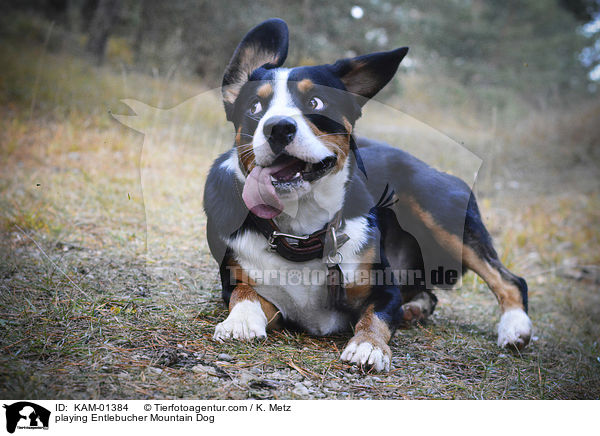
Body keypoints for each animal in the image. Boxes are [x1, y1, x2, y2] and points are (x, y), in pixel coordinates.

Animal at [204, 19, 532, 372]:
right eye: (255, 107)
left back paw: (515, 327)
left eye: (315, 103)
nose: (278, 127)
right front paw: (240, 321)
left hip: (434, 208)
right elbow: (244, 292)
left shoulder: (384, 290)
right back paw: (416, 309)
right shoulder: (241, 282)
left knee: (510, 280)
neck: (301, 232)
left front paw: (368, 346)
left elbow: (375, 316)